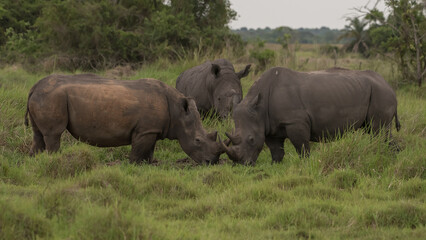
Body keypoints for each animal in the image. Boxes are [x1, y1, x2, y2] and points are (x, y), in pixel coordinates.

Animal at [24, 74, 223, 164]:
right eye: (197, 140)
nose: (211, 162)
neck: (177, 111)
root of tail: (34, 87)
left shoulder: (151, 130)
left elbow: (149, 150)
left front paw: (149, 164)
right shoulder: (145, 131)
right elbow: (138, 151)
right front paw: (133, 165)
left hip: (44, 97)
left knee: (38, 134)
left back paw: (35, 162)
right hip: (51, 97)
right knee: (53, 134)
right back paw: (54, 159)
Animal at [221, 67, 402, 165]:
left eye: (251, 139)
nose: (242, 164)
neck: (259, 107)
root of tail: (389, 86)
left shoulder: (295, 122)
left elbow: (302, 148)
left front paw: (305, 165)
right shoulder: (269, 126)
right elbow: (276, 150)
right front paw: (274, 165)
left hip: (380, 93)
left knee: (379, 131)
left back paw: (387, 157)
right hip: (373, 91)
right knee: (376, 132)